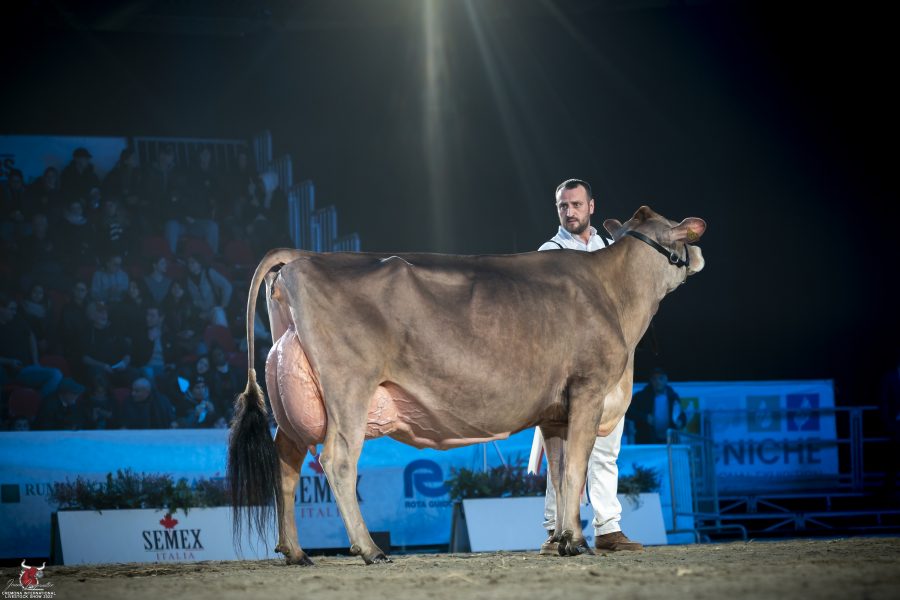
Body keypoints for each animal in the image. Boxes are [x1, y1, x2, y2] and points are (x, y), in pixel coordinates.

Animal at [228, 205, 706, 565]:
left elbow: (558, 473)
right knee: (338, 460)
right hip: (349, 387)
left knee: (286, 462)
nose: (698, 253)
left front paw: (561, 538)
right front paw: (574, 542)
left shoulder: (555, 413)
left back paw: (295, 551)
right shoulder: (588, 389)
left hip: (295, 399)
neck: (613, 291)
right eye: (680, 235)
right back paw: (369, 548)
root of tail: (304, 257)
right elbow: (576, 469)